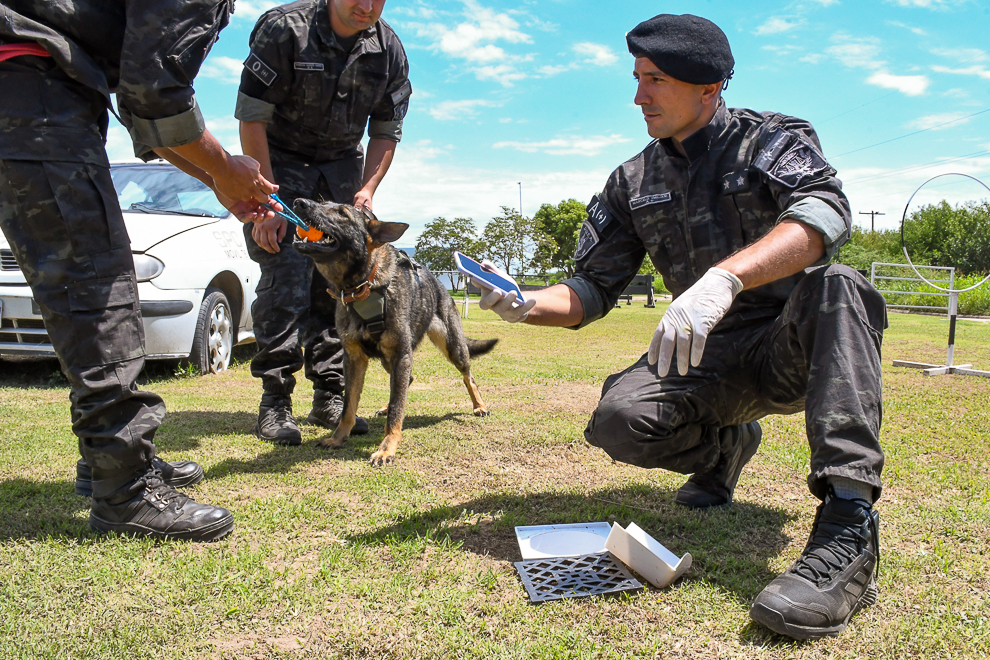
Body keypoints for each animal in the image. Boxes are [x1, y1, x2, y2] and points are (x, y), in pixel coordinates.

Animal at [292, 199, 496, 466]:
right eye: (323, 203)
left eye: (342, 213)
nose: (299, 202)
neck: (363, 286)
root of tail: (440, 285)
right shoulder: (354, 359)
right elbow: (349, 407)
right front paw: (338, 438)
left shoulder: (401, 355)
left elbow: (398, 406)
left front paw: (387, 448)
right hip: (390, 360)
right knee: (406, 381)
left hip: (451, 347)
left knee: (467, 376)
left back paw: (479, 405)